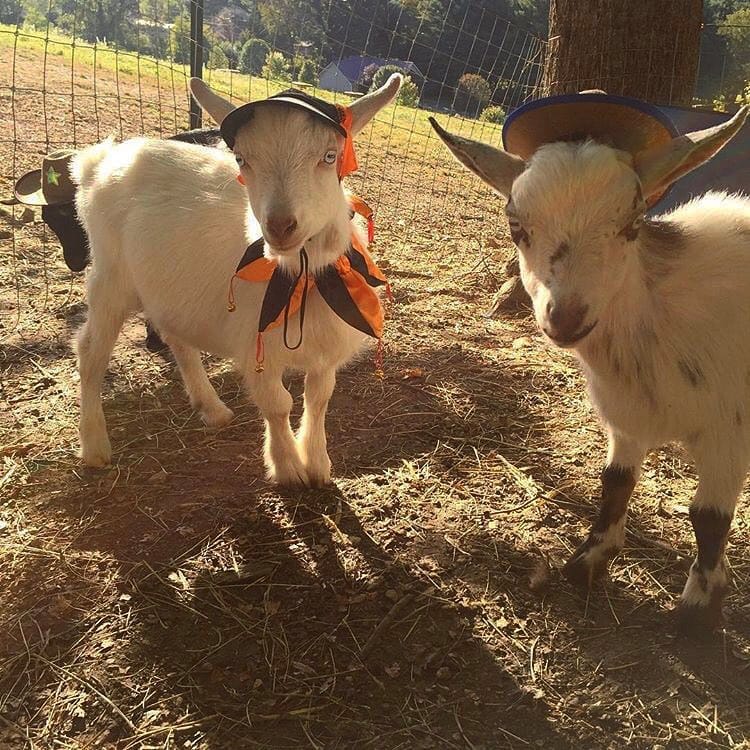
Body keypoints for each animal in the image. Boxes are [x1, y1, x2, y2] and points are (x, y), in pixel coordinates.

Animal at [71, 74, 402, 487]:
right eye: (242, 159)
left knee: (176, 337)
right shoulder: (256, 345)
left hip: (168, 287)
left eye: (330, 156)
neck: (298, 277)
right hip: (110, 276)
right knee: (90, 350)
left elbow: (319, 396)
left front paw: (318, 464)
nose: (280, 225)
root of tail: (101, 160)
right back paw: (94, 445)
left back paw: (212, 408)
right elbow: (278, 403)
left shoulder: (326, 346)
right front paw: (288, 468)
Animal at [431, 105, 750, 634]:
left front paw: (696, 614)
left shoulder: (730, 430)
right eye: (515, 225)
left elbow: (708, 516)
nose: (565, 317)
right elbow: (615, 483)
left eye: (634, 222)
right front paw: (589, 561)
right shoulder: (625, 419)